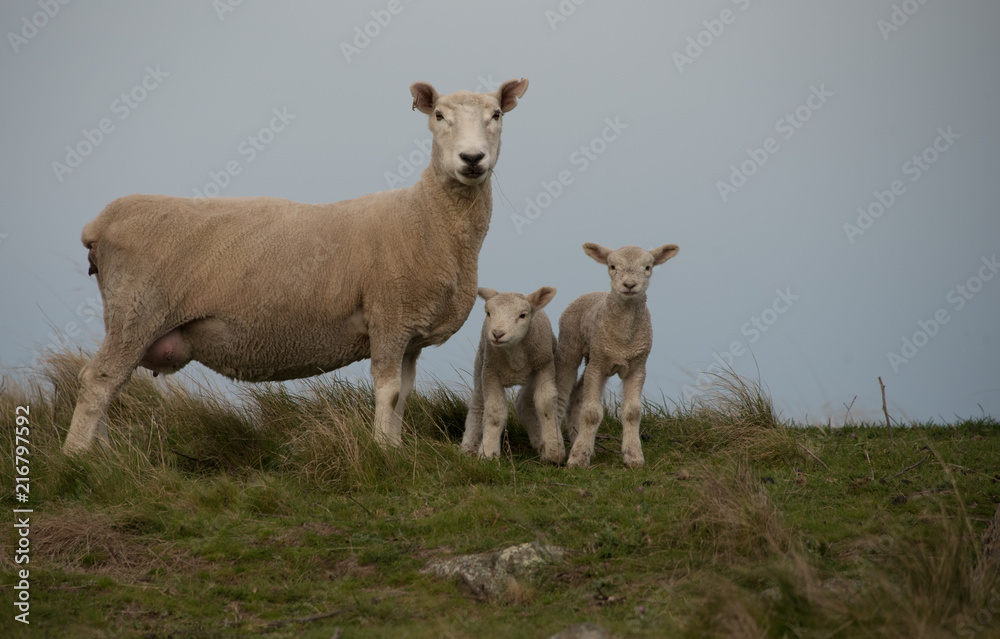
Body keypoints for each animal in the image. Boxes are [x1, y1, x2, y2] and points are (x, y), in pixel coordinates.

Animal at [62, 78, 529, 454]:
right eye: (438, 115)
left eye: (496, 115)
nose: (472, 159)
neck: (426, 217)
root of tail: (99, 224)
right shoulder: (388, 318)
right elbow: (389, 391)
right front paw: (382, 452)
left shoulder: (408, 333)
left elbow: (405, 394)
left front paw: (395, 446)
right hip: (136, 311)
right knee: (98, 381)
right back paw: (79, 459)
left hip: (135, 318)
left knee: (111, 383)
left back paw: (105, 456)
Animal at [461, 286, 564, 464]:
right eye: (488, 312)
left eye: (523, 315)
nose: (497, 333)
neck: (515, 358)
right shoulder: (490, 372)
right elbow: (495, 411)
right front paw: (488, 453)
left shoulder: (544, 366)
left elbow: (545, 403)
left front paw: (553, 451)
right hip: (480, 364)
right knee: (478, 405)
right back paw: (468, 447)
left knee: (525, 403)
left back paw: (539, 441)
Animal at [555, 242, 679, 468]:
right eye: (612, 266)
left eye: (648, 267)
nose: (629, 284)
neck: (622, 342)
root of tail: (591, 292)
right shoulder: (598, 366)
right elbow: (592, 413)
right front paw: (577, 460)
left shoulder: (637, 366)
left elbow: (632, 412)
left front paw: (634, 456)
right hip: (571, 347)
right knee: (561, 394)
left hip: (594, 356)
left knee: (577, 396)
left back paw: (581, 441)